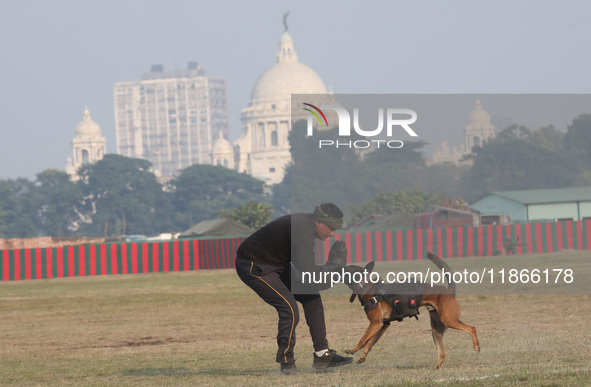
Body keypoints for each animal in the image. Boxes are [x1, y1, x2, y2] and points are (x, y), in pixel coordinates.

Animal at [344, 253, 478, 368]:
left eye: (346, 270)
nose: (339, 267)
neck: (364, 284)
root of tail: (448, 291)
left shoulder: (375, 323)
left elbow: (363, 339)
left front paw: (352, 350)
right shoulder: (382, 325)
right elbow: (370, 343)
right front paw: (362, 356)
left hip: (448, 319)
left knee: (471, 328)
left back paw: (476, 346)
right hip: (436, 330)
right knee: (442, 352)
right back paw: (436, 366)